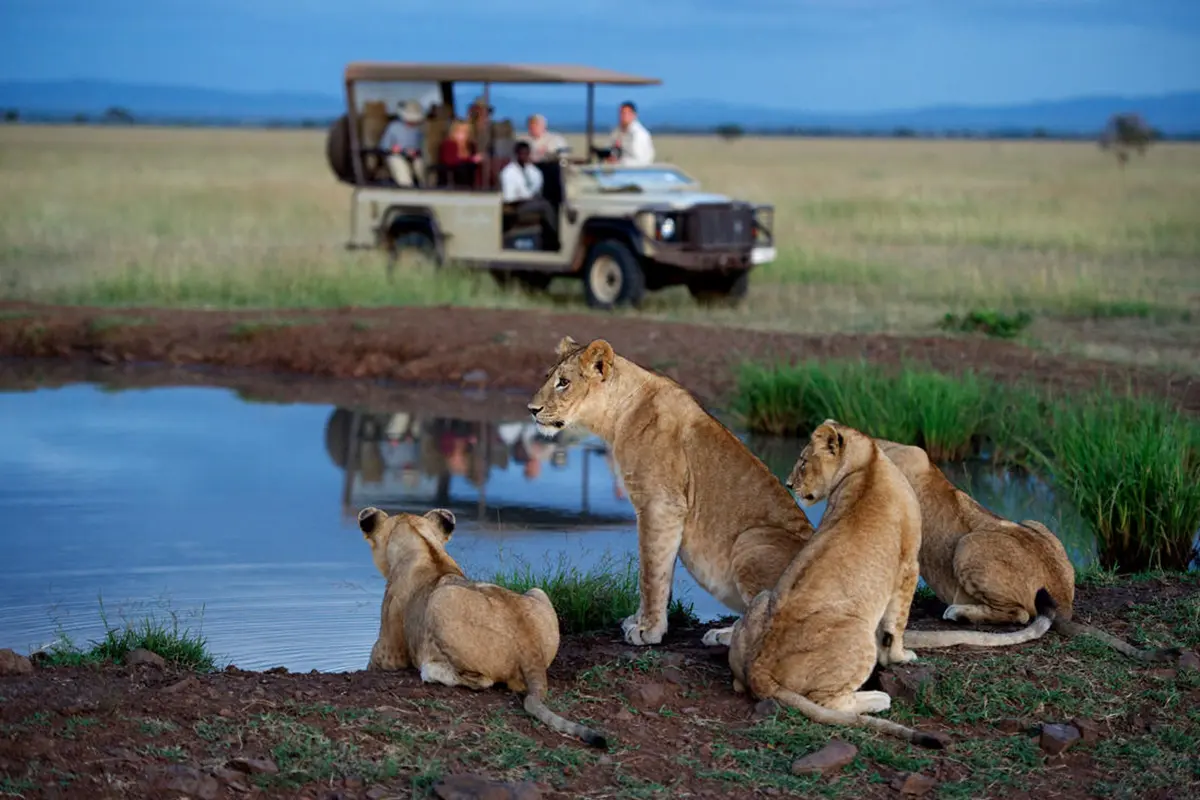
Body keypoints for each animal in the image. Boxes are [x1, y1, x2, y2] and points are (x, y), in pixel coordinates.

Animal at [360, 503, 609, 748]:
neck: (425, 546)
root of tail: (530, 650)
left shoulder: (389, 654)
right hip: (538, 591)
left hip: (441, 600)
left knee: (482, 681)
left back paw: (431, 670)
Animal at [532, 335, 820, 647]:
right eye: (547, 377)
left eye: (563, 382)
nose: (531, 410)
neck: (617, 416)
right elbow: (658, 570)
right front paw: (641, 620)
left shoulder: (660, 504)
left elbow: (650, 571)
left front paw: (648, 630)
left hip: (751, 539)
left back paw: (726, 634)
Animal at [724, 422, 950, 748]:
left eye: (803, 462)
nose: (789, 484)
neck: (866, 462)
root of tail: (759, 669)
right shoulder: (909, 564)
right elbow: (897, 624)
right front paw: (900, 657)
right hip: (858, 634)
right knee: (829, 702)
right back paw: (878, 698)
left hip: (763, 599)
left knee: (740, 683)